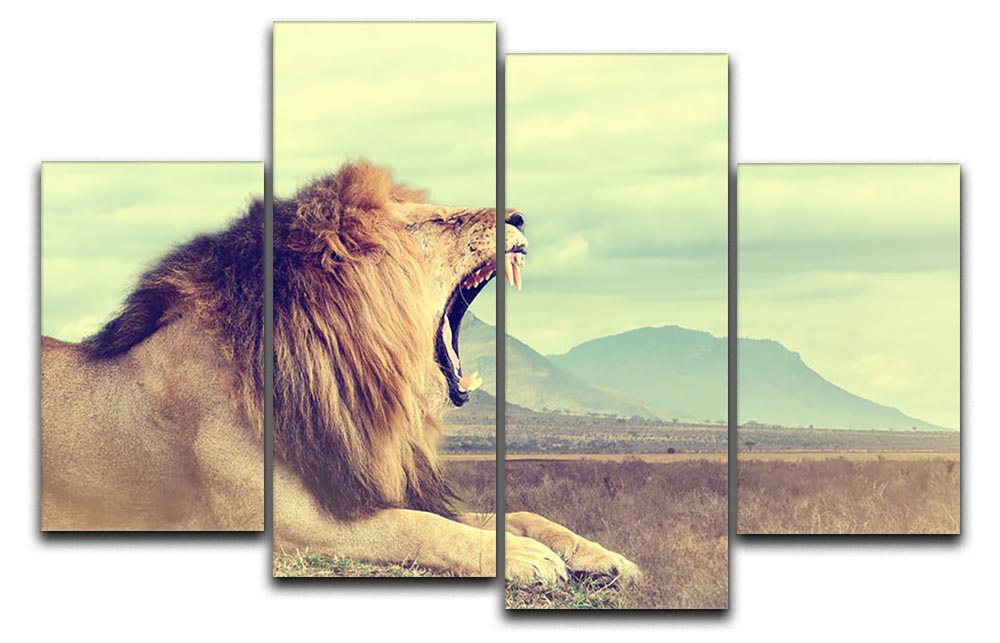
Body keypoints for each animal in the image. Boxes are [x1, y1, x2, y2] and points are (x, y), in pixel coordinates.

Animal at [271, 161, 640, 584]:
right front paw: (530, 556)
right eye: (445, 221)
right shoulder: (292, 517)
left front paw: (603, 556)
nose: (519, 218)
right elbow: (416, 525)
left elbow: (517, 515)